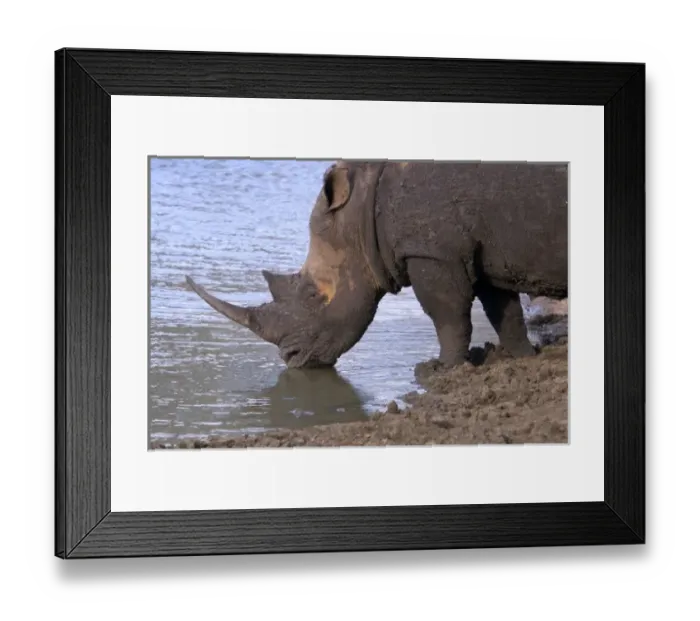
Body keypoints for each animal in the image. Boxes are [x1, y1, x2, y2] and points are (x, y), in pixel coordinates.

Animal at [185, 160, 568, 369]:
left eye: (313, 295)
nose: (290, 358)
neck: (359, 215)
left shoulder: (431, 251)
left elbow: (447, 312)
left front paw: (439, 369)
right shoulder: (482, 248)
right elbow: (503, 309)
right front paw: (524, 357)